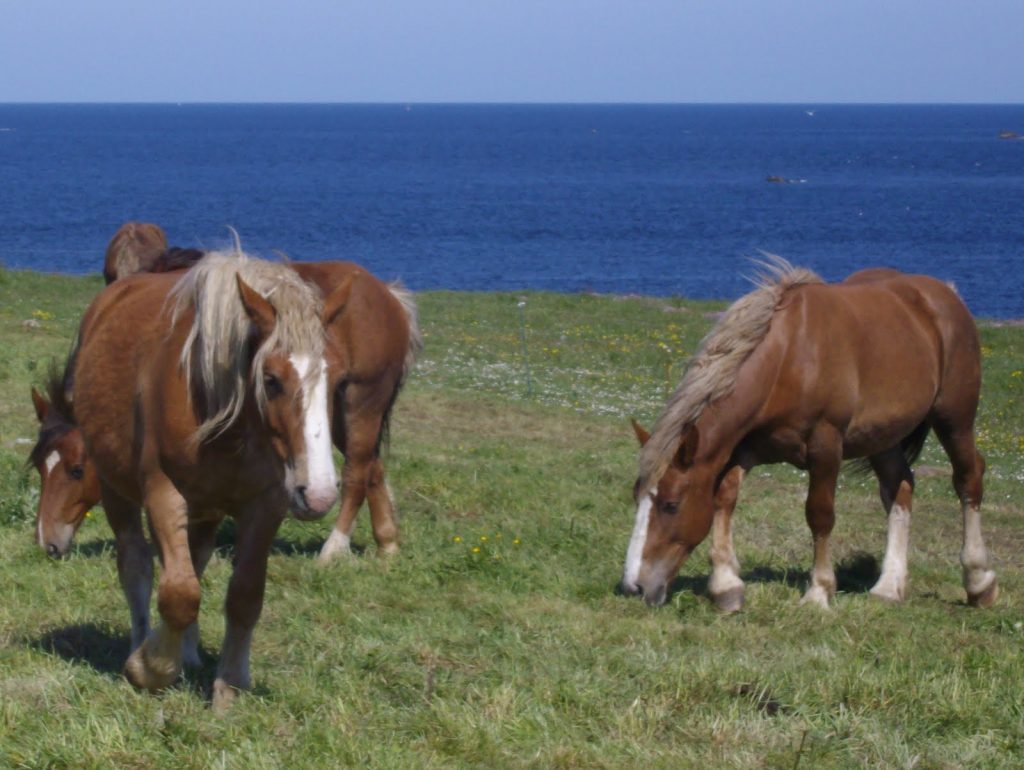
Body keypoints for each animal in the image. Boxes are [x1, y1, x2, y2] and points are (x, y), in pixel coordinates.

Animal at [69, 247, 356, 708]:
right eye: (271, 380)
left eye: (340, 379)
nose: (319, 493)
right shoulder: (163, 493)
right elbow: (178, 593)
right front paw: (150, 668)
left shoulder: (266, 503)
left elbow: (244, 595)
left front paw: (230, 685)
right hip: (118, 491)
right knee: (137, 566)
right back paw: (142, 644)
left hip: (205, 510)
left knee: (195, 562)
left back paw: (187, 653)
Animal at [618, 262, 995, 610]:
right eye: (638, 498)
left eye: (671, 505)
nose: (633, 586)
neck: (789, 358)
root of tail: (944, 293)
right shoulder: (744, 448)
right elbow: (724, 499)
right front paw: (726, 586)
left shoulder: (826, 445)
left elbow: (819, 514)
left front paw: (819, 592)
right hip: (882, 436)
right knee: (899, 486)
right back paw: (889, 587)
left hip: (954, 418)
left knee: (968, 478)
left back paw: (979, 582)